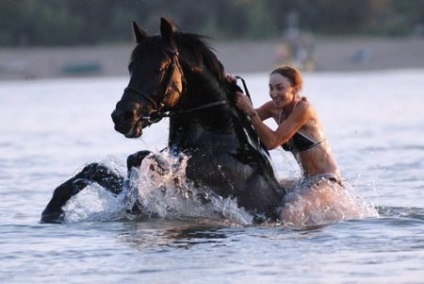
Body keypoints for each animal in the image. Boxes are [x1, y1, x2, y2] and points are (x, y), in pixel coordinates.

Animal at [40, 18, 284, 224]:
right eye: (131, 67)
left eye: (159, 68)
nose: (122, 116)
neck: (217, 142)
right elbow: (98, 170)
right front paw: (52, 210)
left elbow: (138, 160)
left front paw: (134, 206)